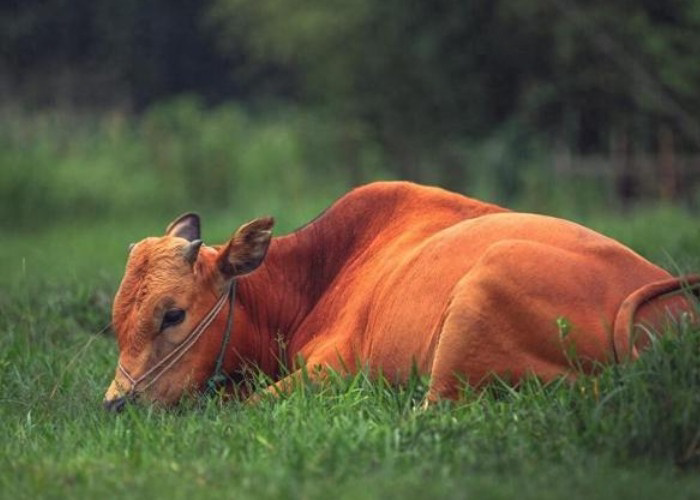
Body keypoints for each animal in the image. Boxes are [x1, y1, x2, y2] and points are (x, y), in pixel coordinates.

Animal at [104, 181, 700, 410]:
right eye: (117, 323)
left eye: (172, 315)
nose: (115, 403)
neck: (318, 274)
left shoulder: (329, 371)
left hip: (479, 297)